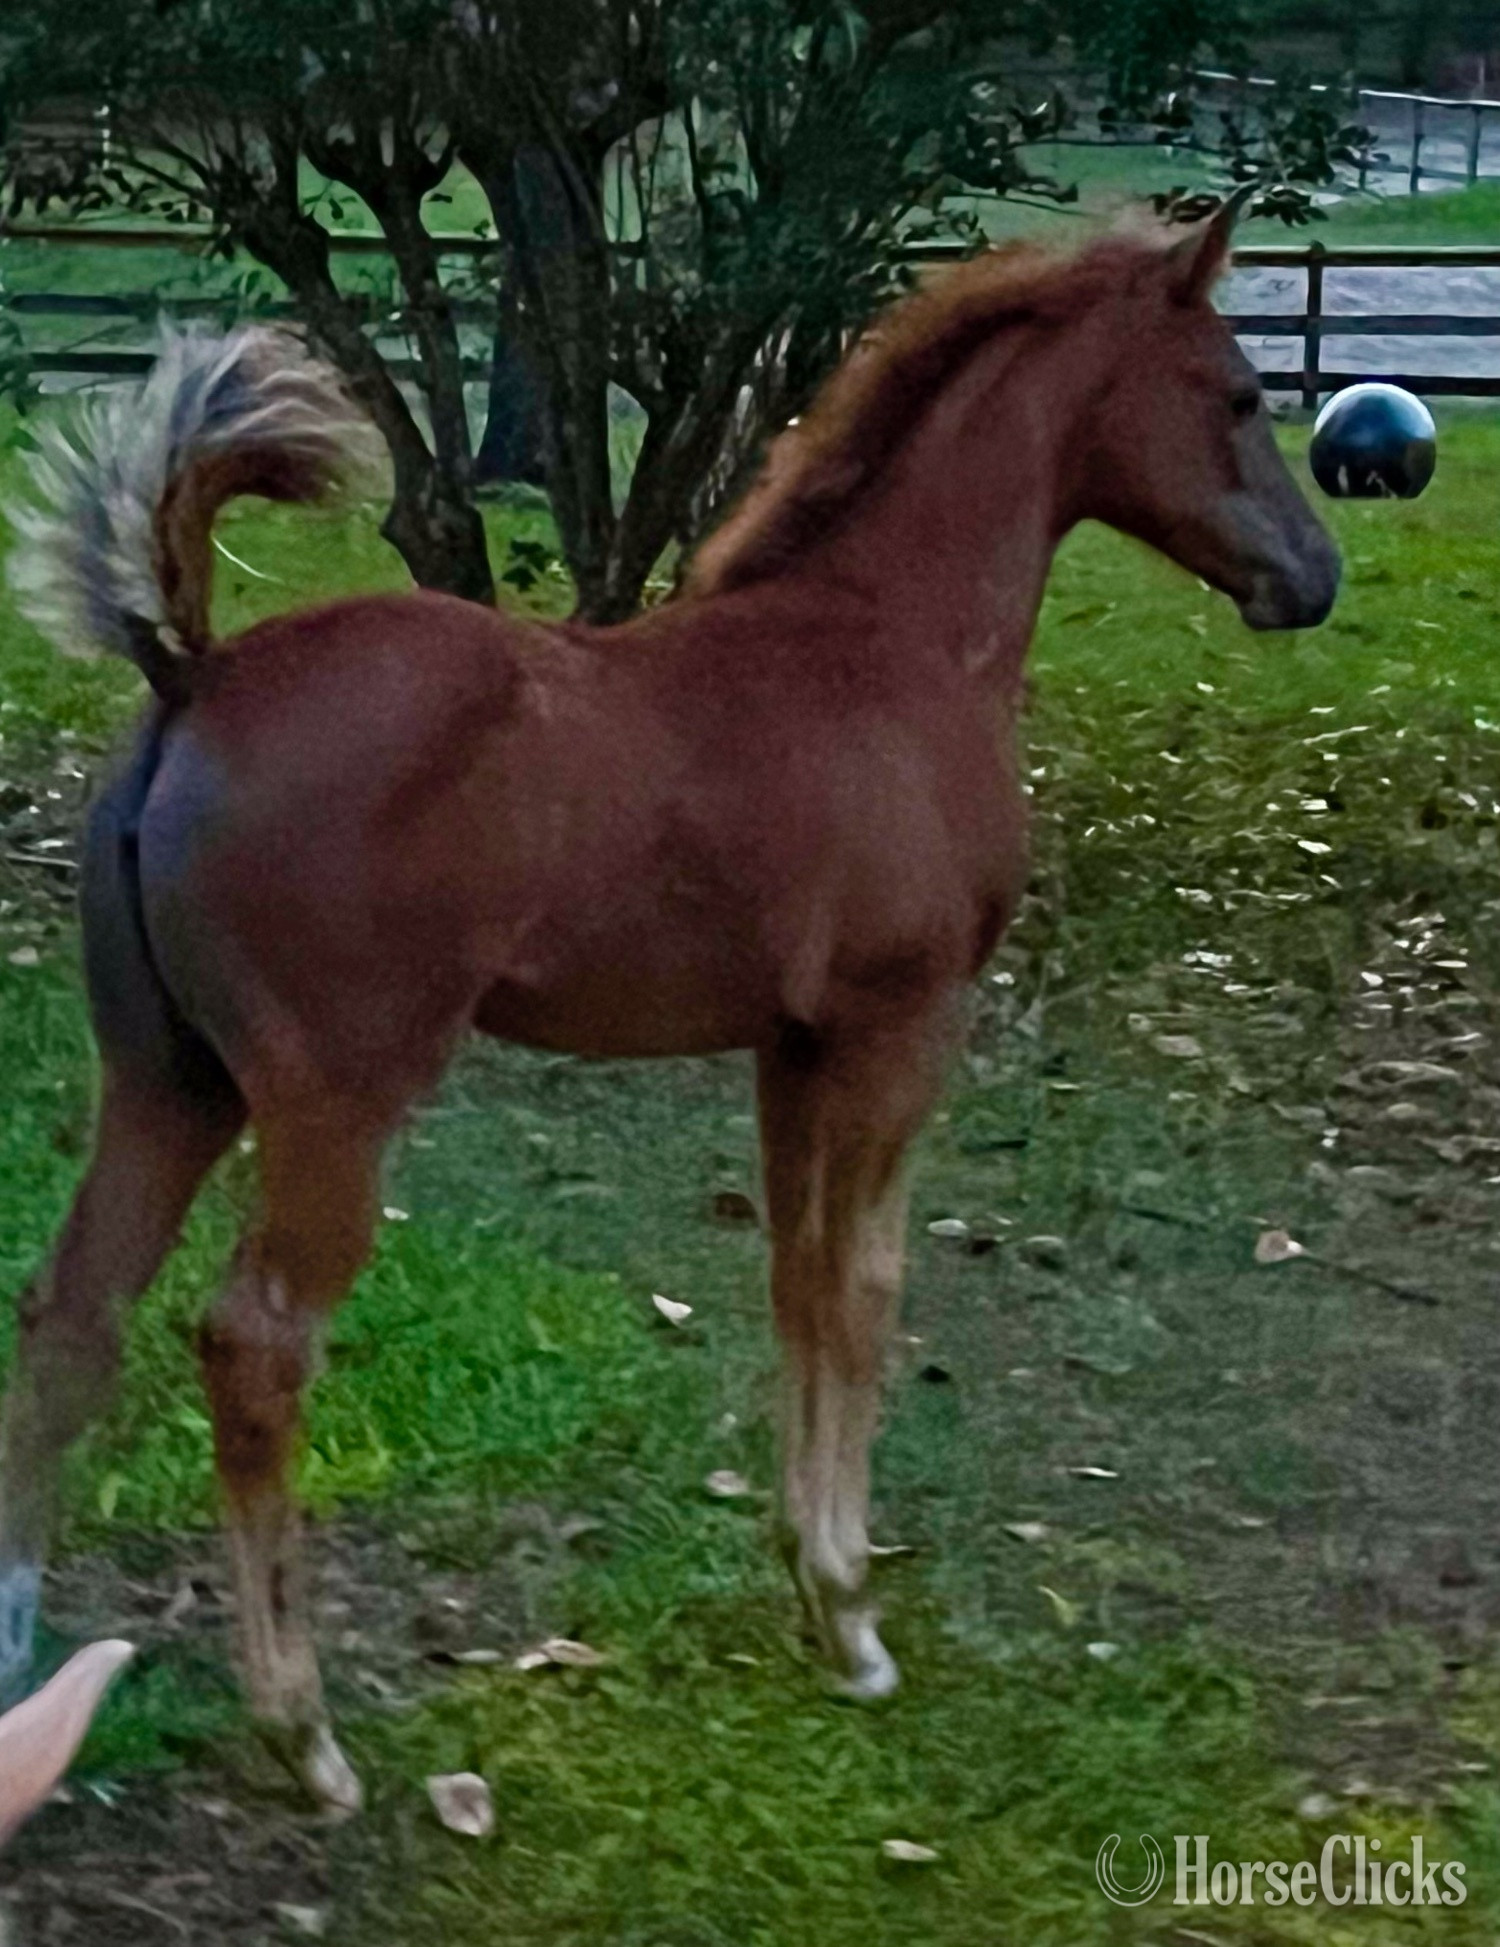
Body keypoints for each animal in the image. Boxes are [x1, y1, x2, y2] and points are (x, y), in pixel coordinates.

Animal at [0, 202, 1338, 1814]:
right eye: (1242, 395)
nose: (1315, 576)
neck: (887, 643)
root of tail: (193, 673)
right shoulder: (901, 1026)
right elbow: (870, 1287)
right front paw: (854, 1614)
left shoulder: (790, 1044)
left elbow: (798, 1279)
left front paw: (808, 1578)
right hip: (334, 1100)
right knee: (252, 1345)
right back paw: (305, 1736)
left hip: (166, 1076)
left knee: (70, 1312)